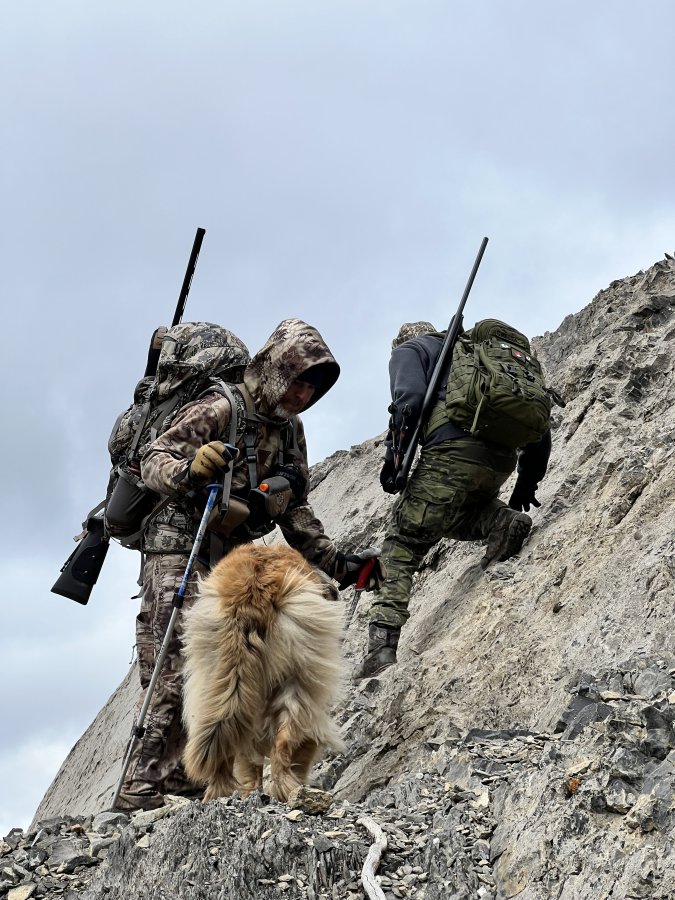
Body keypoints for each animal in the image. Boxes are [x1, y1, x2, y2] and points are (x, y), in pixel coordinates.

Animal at [181, 542, 345, 802]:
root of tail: (252, 590)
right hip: (301, 668)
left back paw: (220, 792)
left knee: (227, 733)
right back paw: (289, 788)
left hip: (212, 670)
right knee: (289, 735)